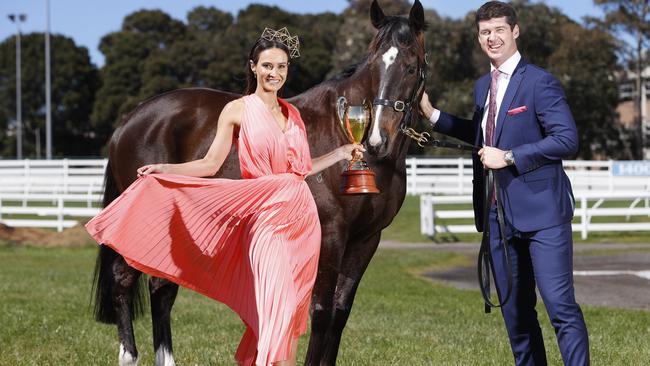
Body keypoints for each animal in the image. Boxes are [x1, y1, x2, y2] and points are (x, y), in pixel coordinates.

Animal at [91, 1, 426, 364]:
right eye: (375, 65)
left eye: (411, 67)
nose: (378, 138)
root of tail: (130, 121)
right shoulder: (331, 234)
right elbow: (321, 312)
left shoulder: (366, 239)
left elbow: (340, 312)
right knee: (124, 278)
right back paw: (128, 355)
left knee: (161, 287)